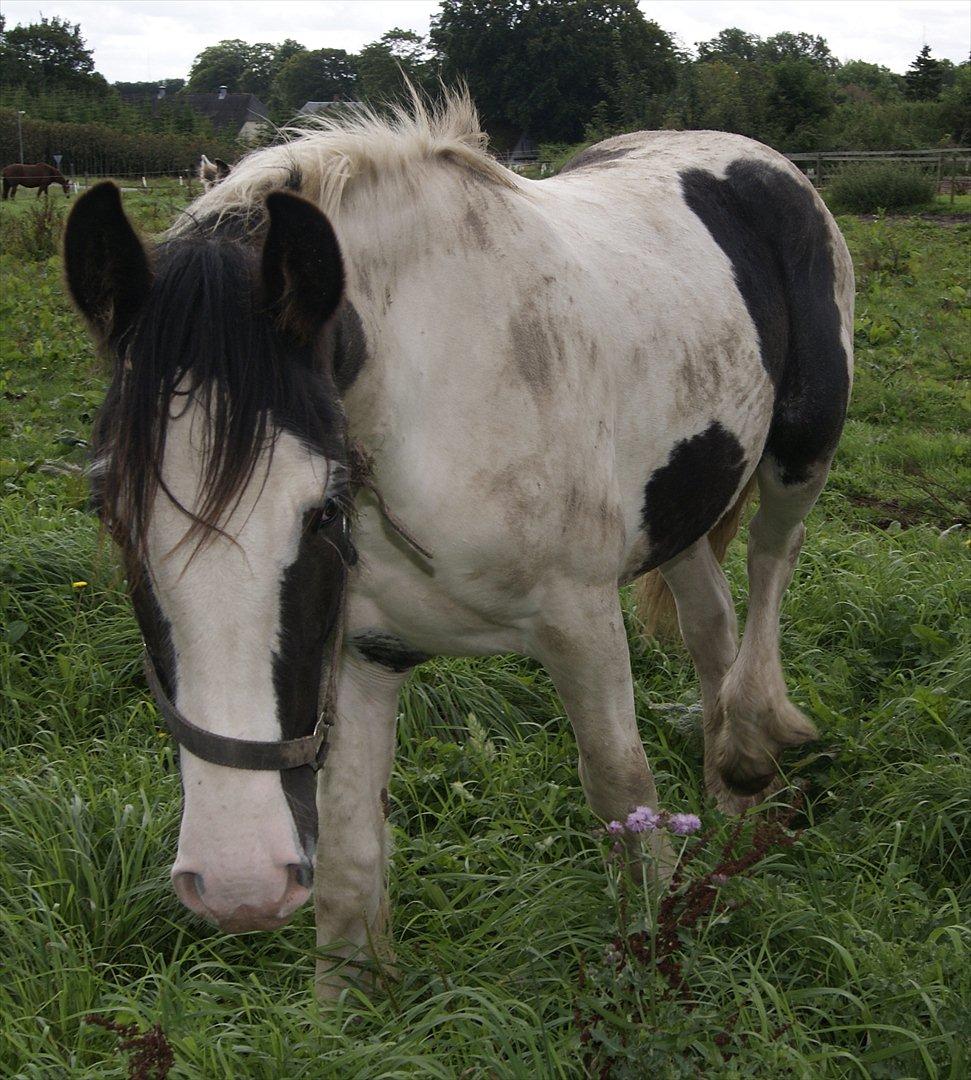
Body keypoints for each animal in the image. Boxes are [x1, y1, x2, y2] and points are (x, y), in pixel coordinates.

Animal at [64, 92, 851, 993]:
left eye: (322, 511)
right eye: (111, 513)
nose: (238, 880)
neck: (440, 397)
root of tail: (759, 160)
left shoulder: (580, 625)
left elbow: (621, 793)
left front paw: (654, 958)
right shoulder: (359, 652)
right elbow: (349, 863)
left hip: (800, 456)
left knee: (768, 563)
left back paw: (751, 745)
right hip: (682, 494)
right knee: (708, 618)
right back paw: (730, 798)